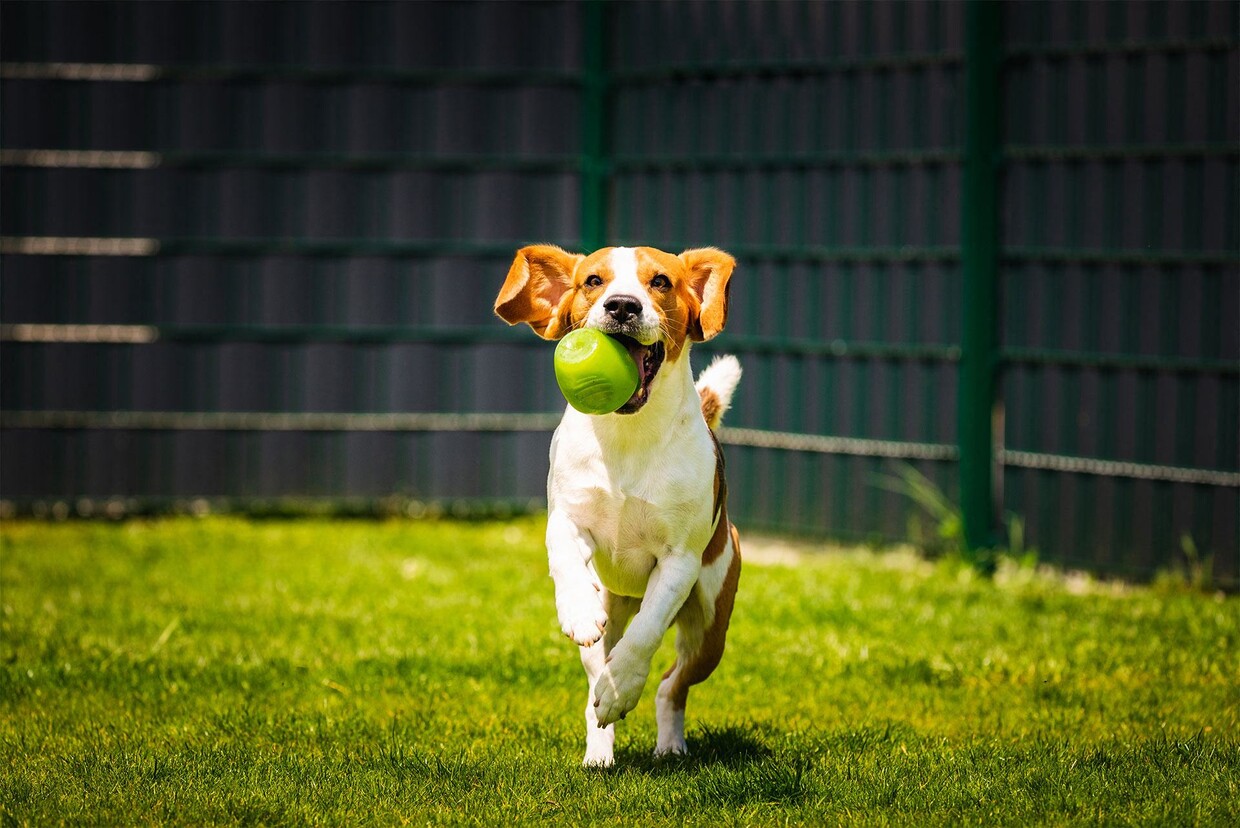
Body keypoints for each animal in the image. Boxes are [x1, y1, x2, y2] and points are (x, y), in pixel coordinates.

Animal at [496, 242, 744, 768]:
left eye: (661, 282)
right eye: (593, 281)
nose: (623, 306)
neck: (628, 434)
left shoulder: (679, 561)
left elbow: (646, 633)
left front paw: (621, 688)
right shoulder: (565, 520)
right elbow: (566, 560)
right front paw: (576, 609)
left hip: (710, 628)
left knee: (671, 684)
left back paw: (665, 740)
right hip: (612, 609)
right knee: (596, 671)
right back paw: (599, 748)